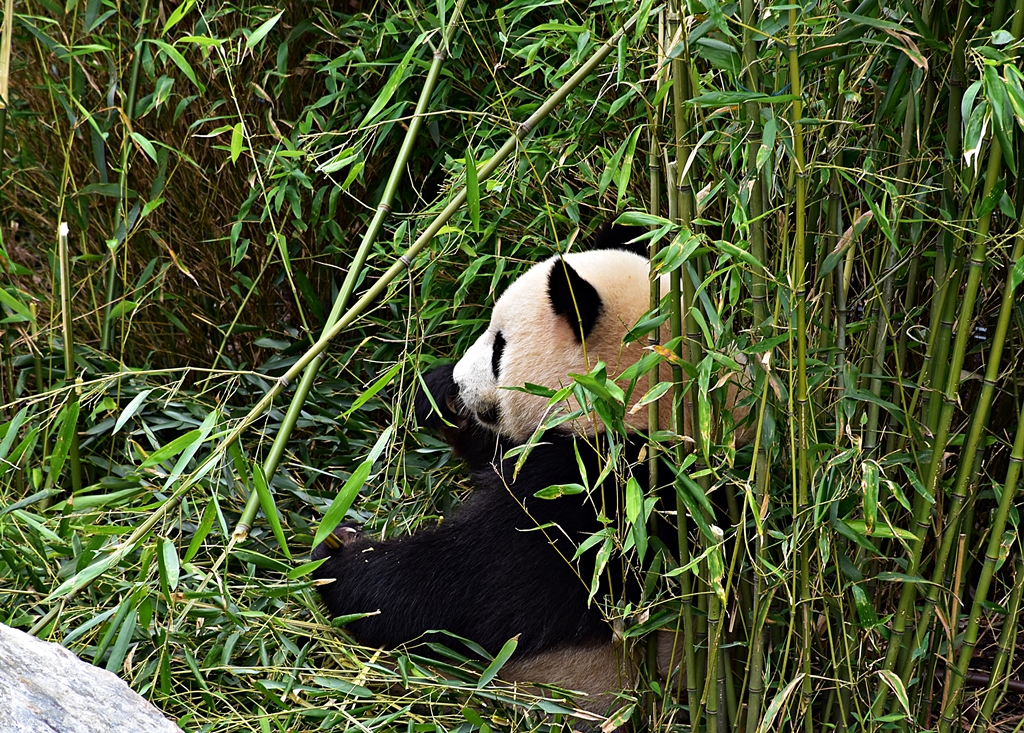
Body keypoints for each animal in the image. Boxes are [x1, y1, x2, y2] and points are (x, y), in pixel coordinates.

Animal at [311, 225, 741, 713]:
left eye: (499, 346)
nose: (460, 381)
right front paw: (438, 396)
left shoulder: (600, 504)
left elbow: (469, 588)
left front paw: (340, 554)